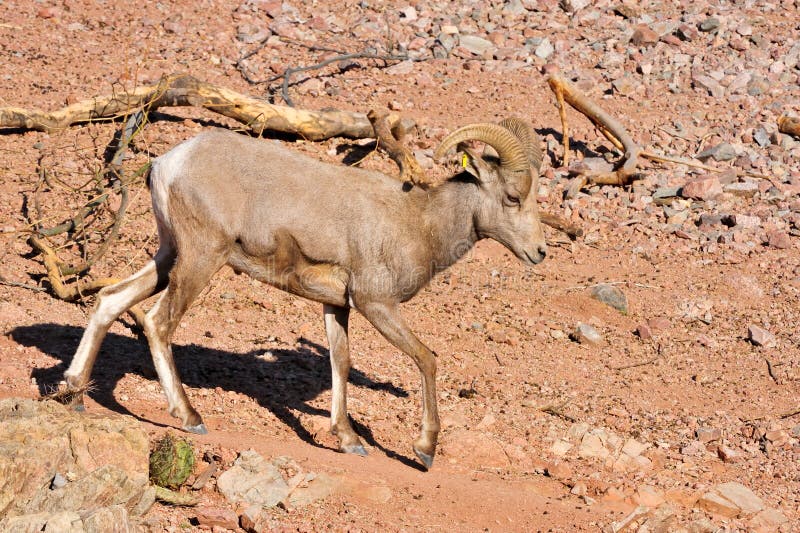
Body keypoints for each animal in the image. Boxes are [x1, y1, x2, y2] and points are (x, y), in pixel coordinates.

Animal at [64, 118, 544, 468]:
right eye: (512, 197)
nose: (539, 252)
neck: (418, 222)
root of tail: (168, 163)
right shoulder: (376, 304)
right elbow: (427, 359)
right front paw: (424, 450)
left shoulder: (336, 306)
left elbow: (340, 363)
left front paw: (348, 440)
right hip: (201, 258)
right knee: (158, 323)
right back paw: (190, 418)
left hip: (168, 256)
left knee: (110, 299)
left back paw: (74, 392)